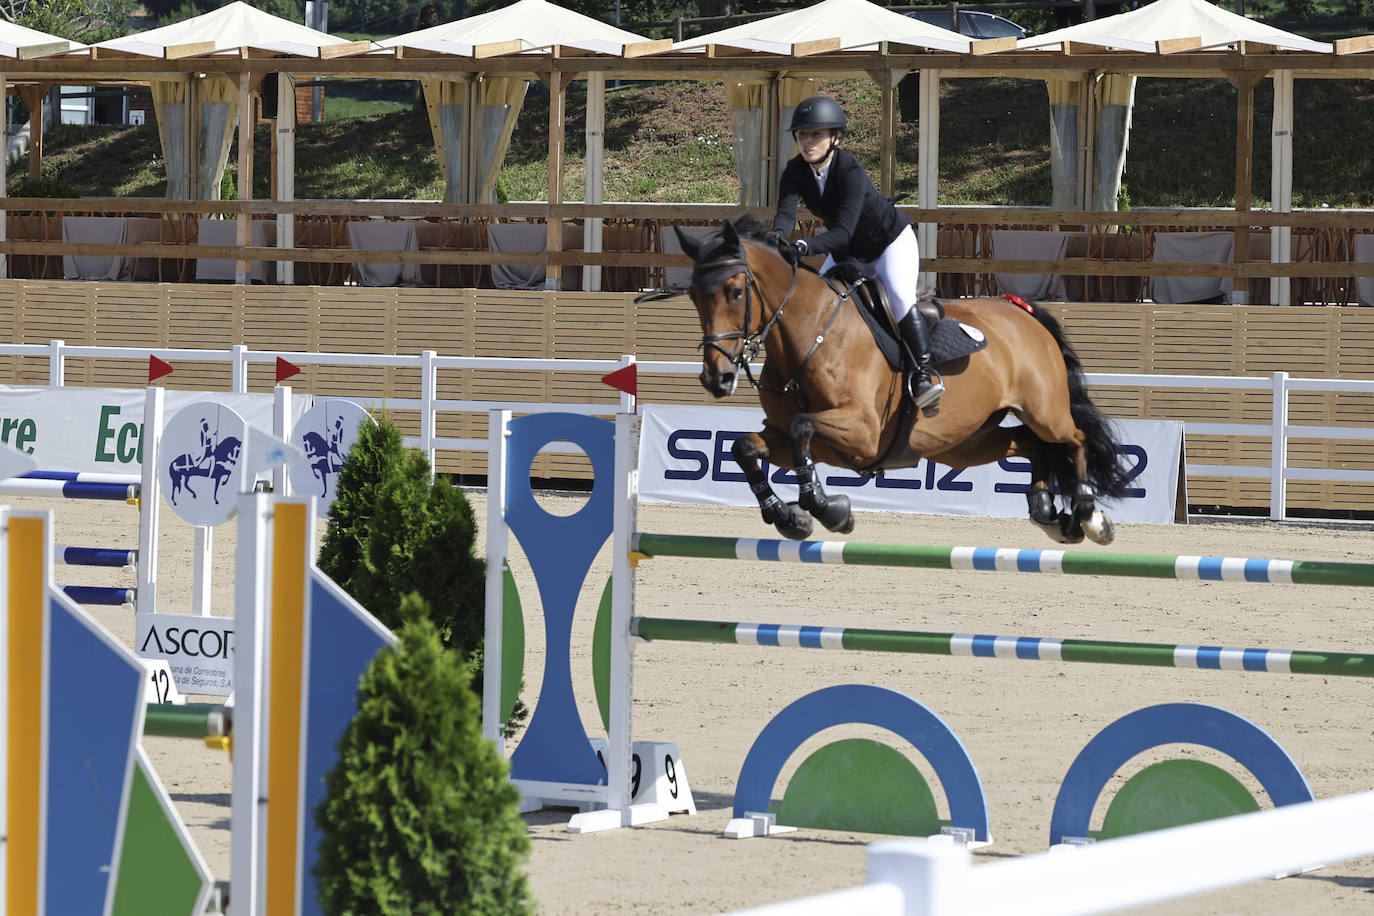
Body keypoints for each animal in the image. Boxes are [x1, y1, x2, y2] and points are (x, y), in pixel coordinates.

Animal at [670, 215, 1132, 543]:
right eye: (693, 295)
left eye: (734, 291)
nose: (717, 379)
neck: (811, 334)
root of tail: (1020, 308)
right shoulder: (795, 437)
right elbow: (745, 447)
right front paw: (787, 516)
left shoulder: (862, 432)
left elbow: (802, 426)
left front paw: (826, 507)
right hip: (965, 443)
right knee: (1034, 445)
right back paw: (1047, 511)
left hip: (1043, 410)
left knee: (1072, 439)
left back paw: (1089, 515)